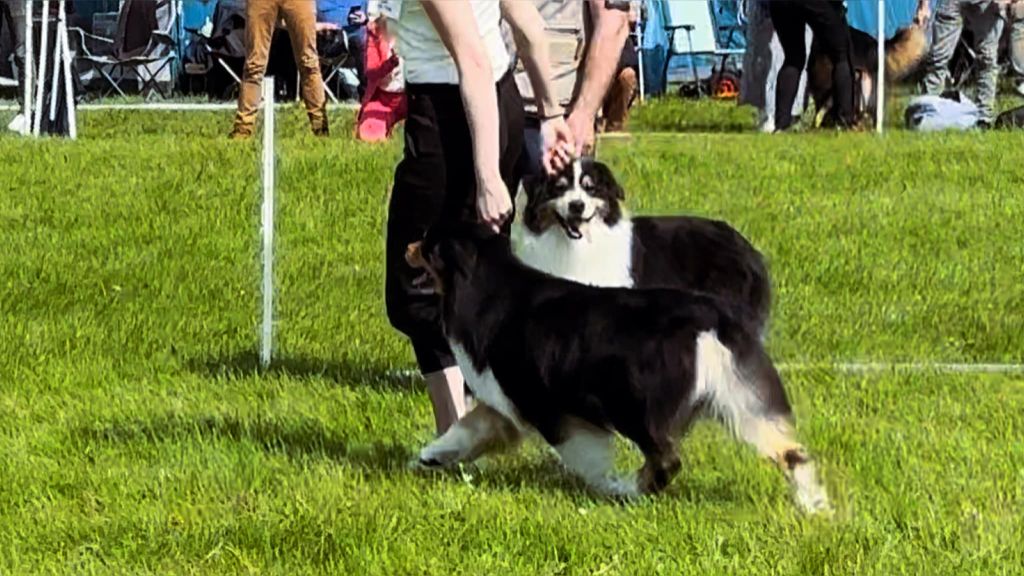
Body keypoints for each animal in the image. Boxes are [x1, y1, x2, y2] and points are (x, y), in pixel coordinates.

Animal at [403, 223, 827, 510]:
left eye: (428, 244)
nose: (406, 247)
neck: (484, 284)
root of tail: (708, 319)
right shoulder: (506, 402)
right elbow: (467, 428)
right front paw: (428, 457)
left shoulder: (544, 406)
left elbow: (583, 453)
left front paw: (602, 484)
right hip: (742, 399)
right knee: (790, 450)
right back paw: (816, 506)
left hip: (635, 404)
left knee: (666, 458)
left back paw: (628, 490)